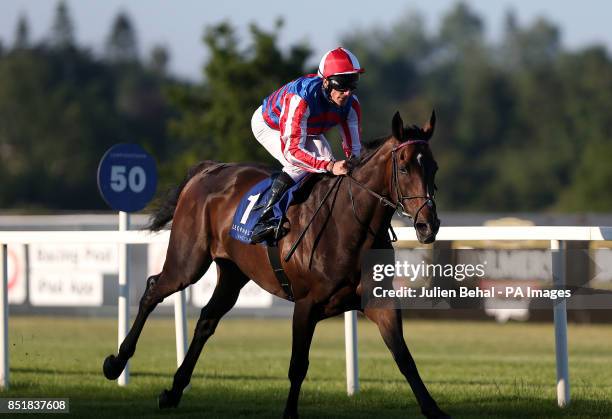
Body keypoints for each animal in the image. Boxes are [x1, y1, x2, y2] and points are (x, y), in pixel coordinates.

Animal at [100, 110, 444, 418]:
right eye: (403, 168)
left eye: (434, 168)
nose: (428, 225)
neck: (350, 226)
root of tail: (208, 170)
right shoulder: (306, 305)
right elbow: (298, 365)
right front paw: (290, 413)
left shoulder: (379, 303)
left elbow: (404, 357)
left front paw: (434, 410)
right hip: (188, 261)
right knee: (153, 290)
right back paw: (116, 363)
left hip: (233, 272)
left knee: (207, 320)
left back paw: (173, 391)